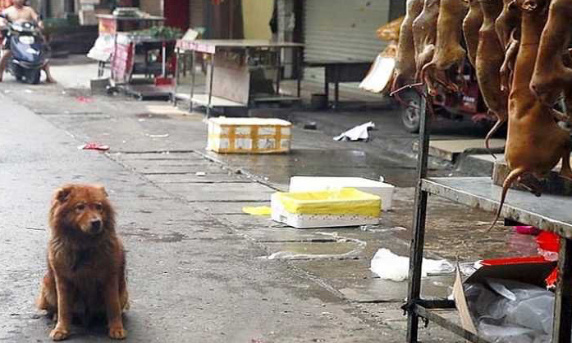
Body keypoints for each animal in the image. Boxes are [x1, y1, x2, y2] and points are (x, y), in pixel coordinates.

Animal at [36, 185, 128, 342]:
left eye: (99, 207)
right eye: (80, 207)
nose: (96, 222)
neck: (83, 245)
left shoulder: (110, 278)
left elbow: (113, 306)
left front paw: (116, 329)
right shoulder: (63, 280)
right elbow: (63, 308)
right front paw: (61, 329)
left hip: (124, 293)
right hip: (47, 284)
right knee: (54, 309)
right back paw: (54, 316)